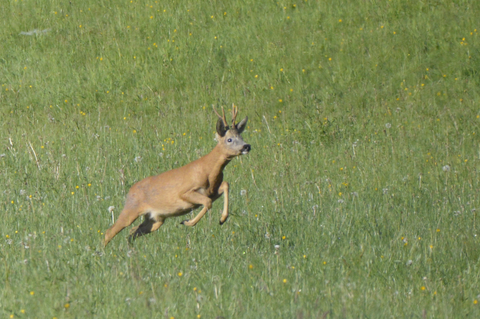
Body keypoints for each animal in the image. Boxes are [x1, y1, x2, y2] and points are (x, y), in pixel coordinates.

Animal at [102, 105, 249, 248]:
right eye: (229, 139)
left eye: (241, 137)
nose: (246, 146)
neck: (209, 171)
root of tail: (130, 190)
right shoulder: (185, 192)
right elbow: (207, 202)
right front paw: (187, 222)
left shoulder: (212, 191)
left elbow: (225, 185)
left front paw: (222, 219)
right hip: (132, 209)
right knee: (110, 231)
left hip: (155, 220)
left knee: (132, 232)